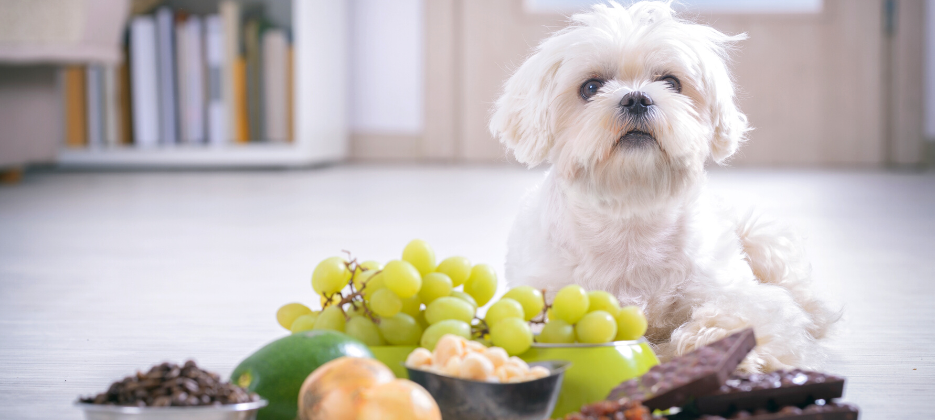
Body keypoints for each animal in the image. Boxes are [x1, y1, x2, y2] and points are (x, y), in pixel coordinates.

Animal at [490, 0, 840, 374]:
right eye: (591, 87)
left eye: (671, 82)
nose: (636, 98)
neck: (632, 211)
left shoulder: (736, 291)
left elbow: (744, 315)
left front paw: (716, 346)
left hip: (760, 238)